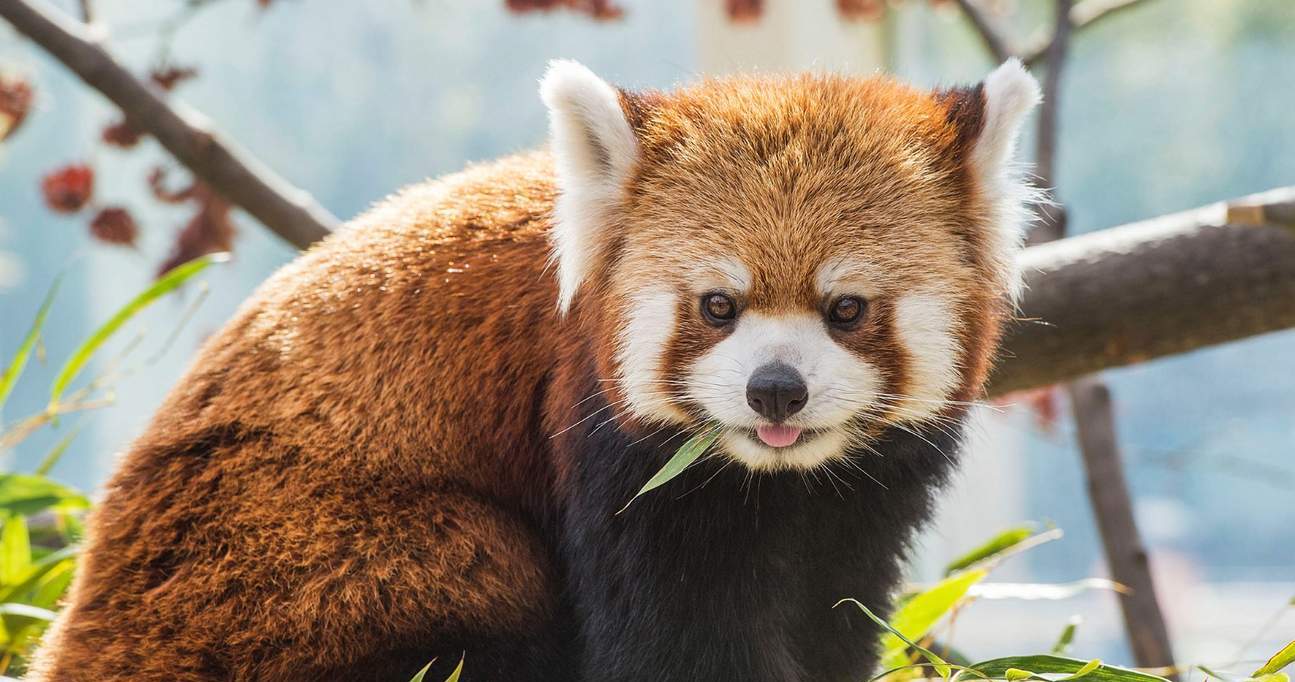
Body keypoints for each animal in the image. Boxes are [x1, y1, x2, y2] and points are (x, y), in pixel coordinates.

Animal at [30, 60, 1041, 682]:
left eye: (846, 309)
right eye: (718, 306)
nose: (774, 390)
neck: (771, 478)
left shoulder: (861, 494)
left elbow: (832, 604)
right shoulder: (608, 444)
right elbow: (672, 634)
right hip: (298, 554)